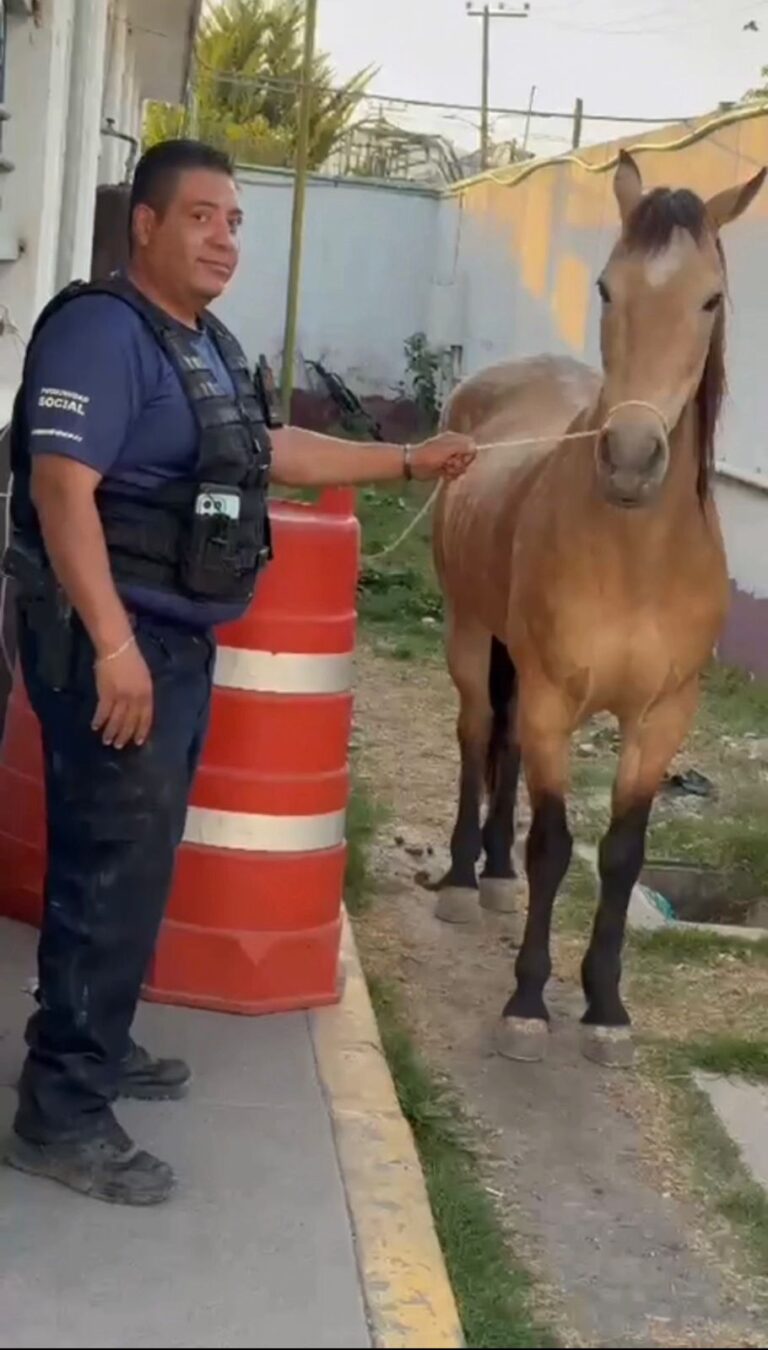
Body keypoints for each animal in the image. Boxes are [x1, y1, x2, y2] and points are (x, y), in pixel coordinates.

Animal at [431, 150, 766, 1068]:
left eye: (711, 298)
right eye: (608, 288)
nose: (630, 458)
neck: (637, 561)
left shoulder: (662, 717)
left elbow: (621, 853)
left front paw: (606, 1006)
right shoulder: (554, 696)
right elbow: (554, 846)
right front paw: (527, 1001)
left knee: (505, 746)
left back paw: (496, 877)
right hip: (471, 632)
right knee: (478, 735)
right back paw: (466, 878)